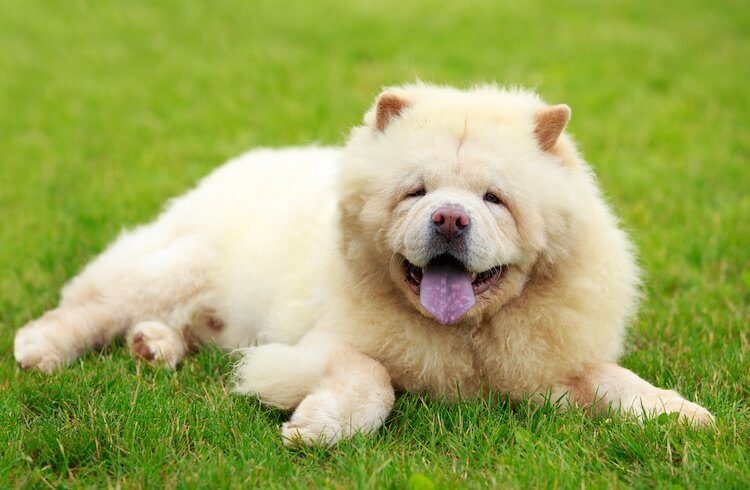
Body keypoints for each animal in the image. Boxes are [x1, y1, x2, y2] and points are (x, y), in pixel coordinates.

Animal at [13, 83, 716, 444]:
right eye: (416, 191)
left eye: (494, 199)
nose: (450, 218)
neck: (464, 337)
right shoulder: (321, 344)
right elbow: (372, 379)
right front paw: (317, 427)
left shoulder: (551, 364)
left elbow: (614, 380)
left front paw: (682, 415)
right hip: (175, 264)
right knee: (90, 305)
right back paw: (40, 350)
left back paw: (152, 346)